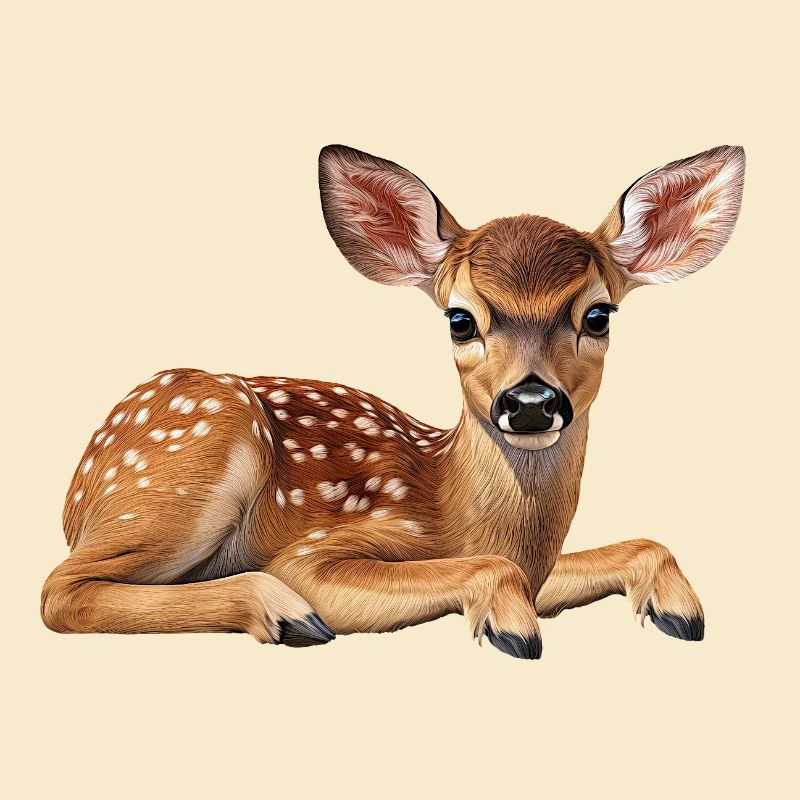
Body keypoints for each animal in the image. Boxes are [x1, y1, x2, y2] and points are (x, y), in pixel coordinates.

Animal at [41, 143, 745, 659]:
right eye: (460, 320)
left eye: (599, 315)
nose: (531, 402)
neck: (459, 508)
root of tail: (78, 488)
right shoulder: (320, 548)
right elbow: (487, 571)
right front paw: (512, 627)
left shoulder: (540, 569)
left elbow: (642, 543)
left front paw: (680, 610)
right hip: (192, 464)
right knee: (59, 590)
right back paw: (285, 614)